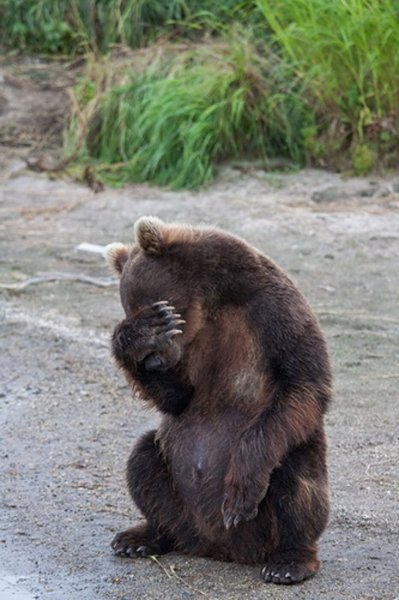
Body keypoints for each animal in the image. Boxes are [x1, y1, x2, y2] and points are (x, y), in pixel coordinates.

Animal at [104, 217, 332, 584]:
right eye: (132, 310)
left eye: (159, 305)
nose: (154, 361)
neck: (212, 303)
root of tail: (220, 547)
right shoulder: (191, 357)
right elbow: (176, 399)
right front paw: (136, 337)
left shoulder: (271, 312)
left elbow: (304, 383)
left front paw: (239, 496)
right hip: (178, 497)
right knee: (144, 459)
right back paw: (141, 537)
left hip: (275, 504)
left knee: (297, 480)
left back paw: (289, 561)